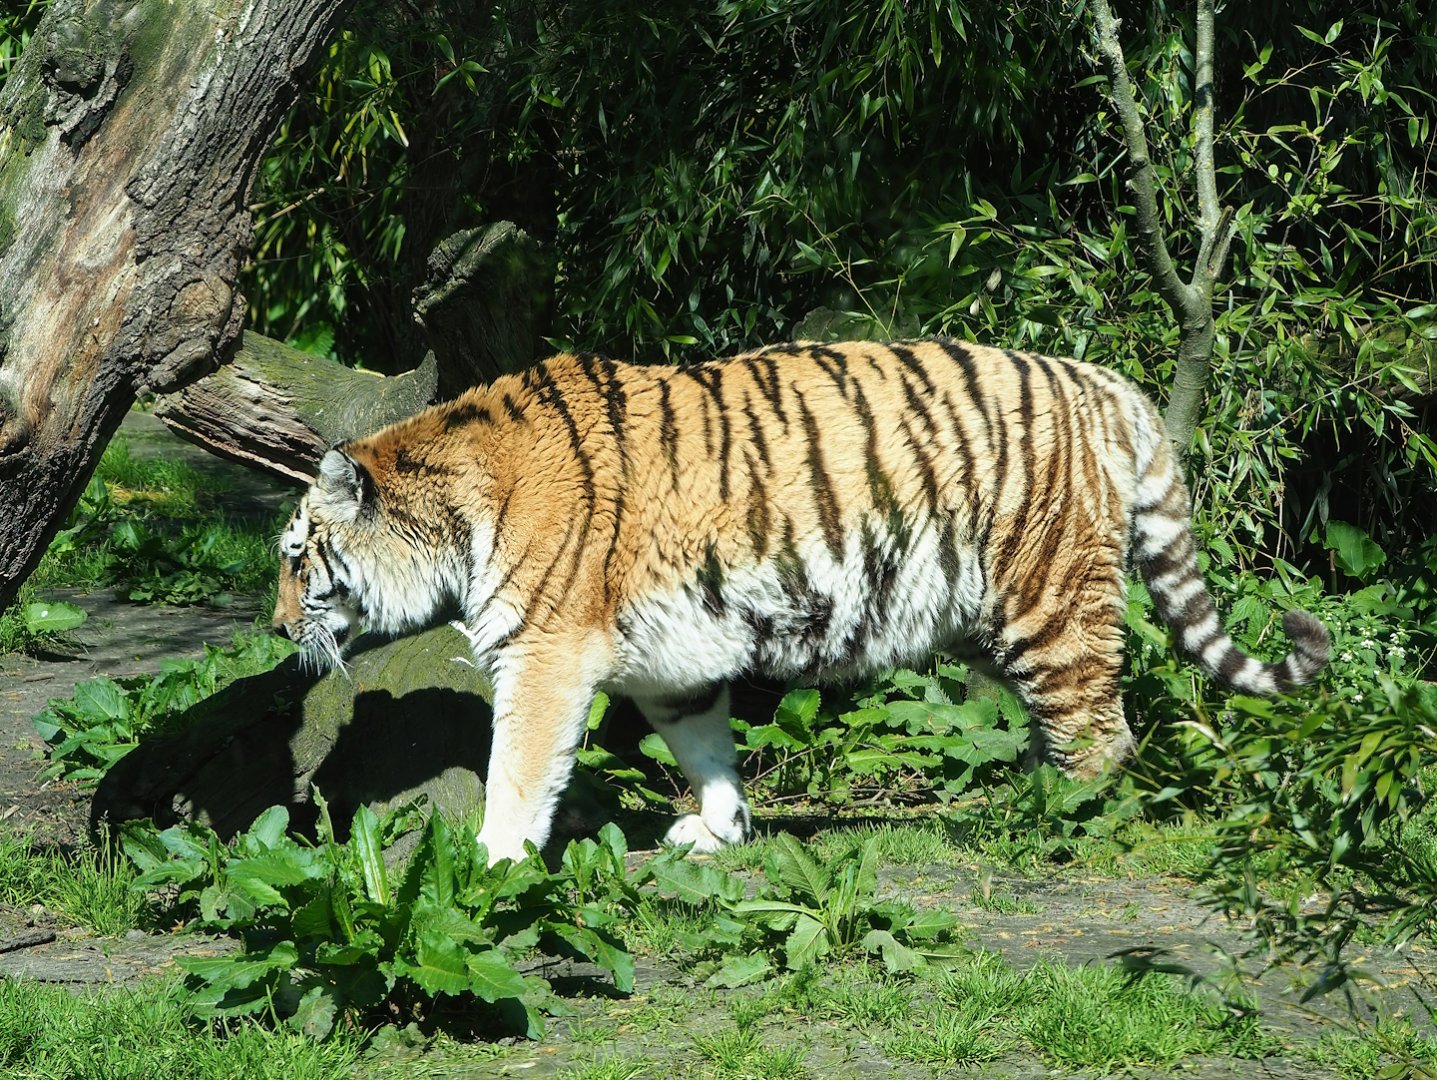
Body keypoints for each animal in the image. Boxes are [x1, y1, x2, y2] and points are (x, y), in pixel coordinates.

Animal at [273, 337, 1330, 864]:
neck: (453, 509)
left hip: (1048, 598)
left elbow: (518, 772)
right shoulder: (673, 659)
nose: (279, 629)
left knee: (1103, 735)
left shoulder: (543, 655)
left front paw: (488, 865)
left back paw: (1049, 820)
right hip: (991, 615)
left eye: (294, 557)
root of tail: (1111, 386)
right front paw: (720, 829)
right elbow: (704, 744)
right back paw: (1025, 793)